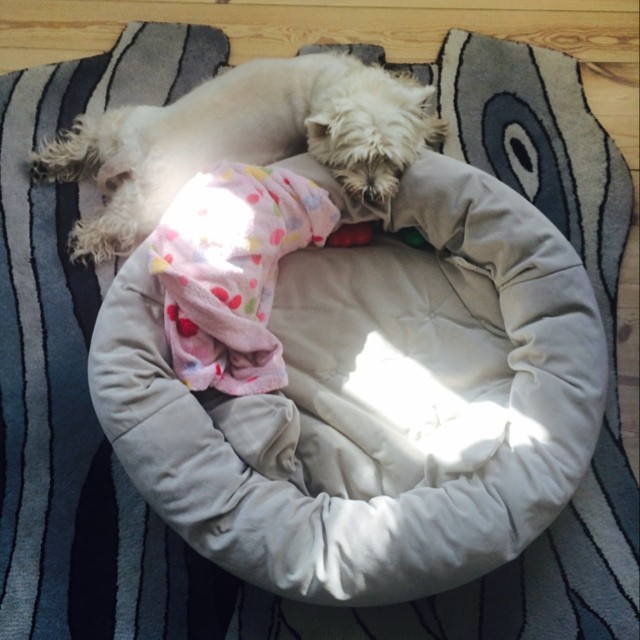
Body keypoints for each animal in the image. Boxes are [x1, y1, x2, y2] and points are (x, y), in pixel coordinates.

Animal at [30, 52, 444, 262]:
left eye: (390, 160)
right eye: (353, 162)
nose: (372, 192)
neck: (335, 83)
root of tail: (136, 150)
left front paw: (434, 123)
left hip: (118, 124)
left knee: (86, 139)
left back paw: (48, 163)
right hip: (149, 202)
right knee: (109, 225)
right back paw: (84, 246)